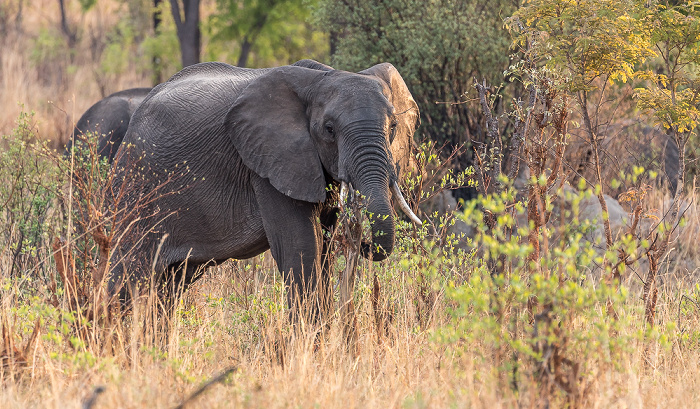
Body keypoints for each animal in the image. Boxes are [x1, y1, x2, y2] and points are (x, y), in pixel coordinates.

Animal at [108, 59, 422, 322]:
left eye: (393, 126)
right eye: (329, 129)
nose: (363, 242)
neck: (322, 77)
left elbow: (324, 253)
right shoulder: (268, 163)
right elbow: (301, 249)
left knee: (170, 286)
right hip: (136, 185)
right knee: (125, 276)